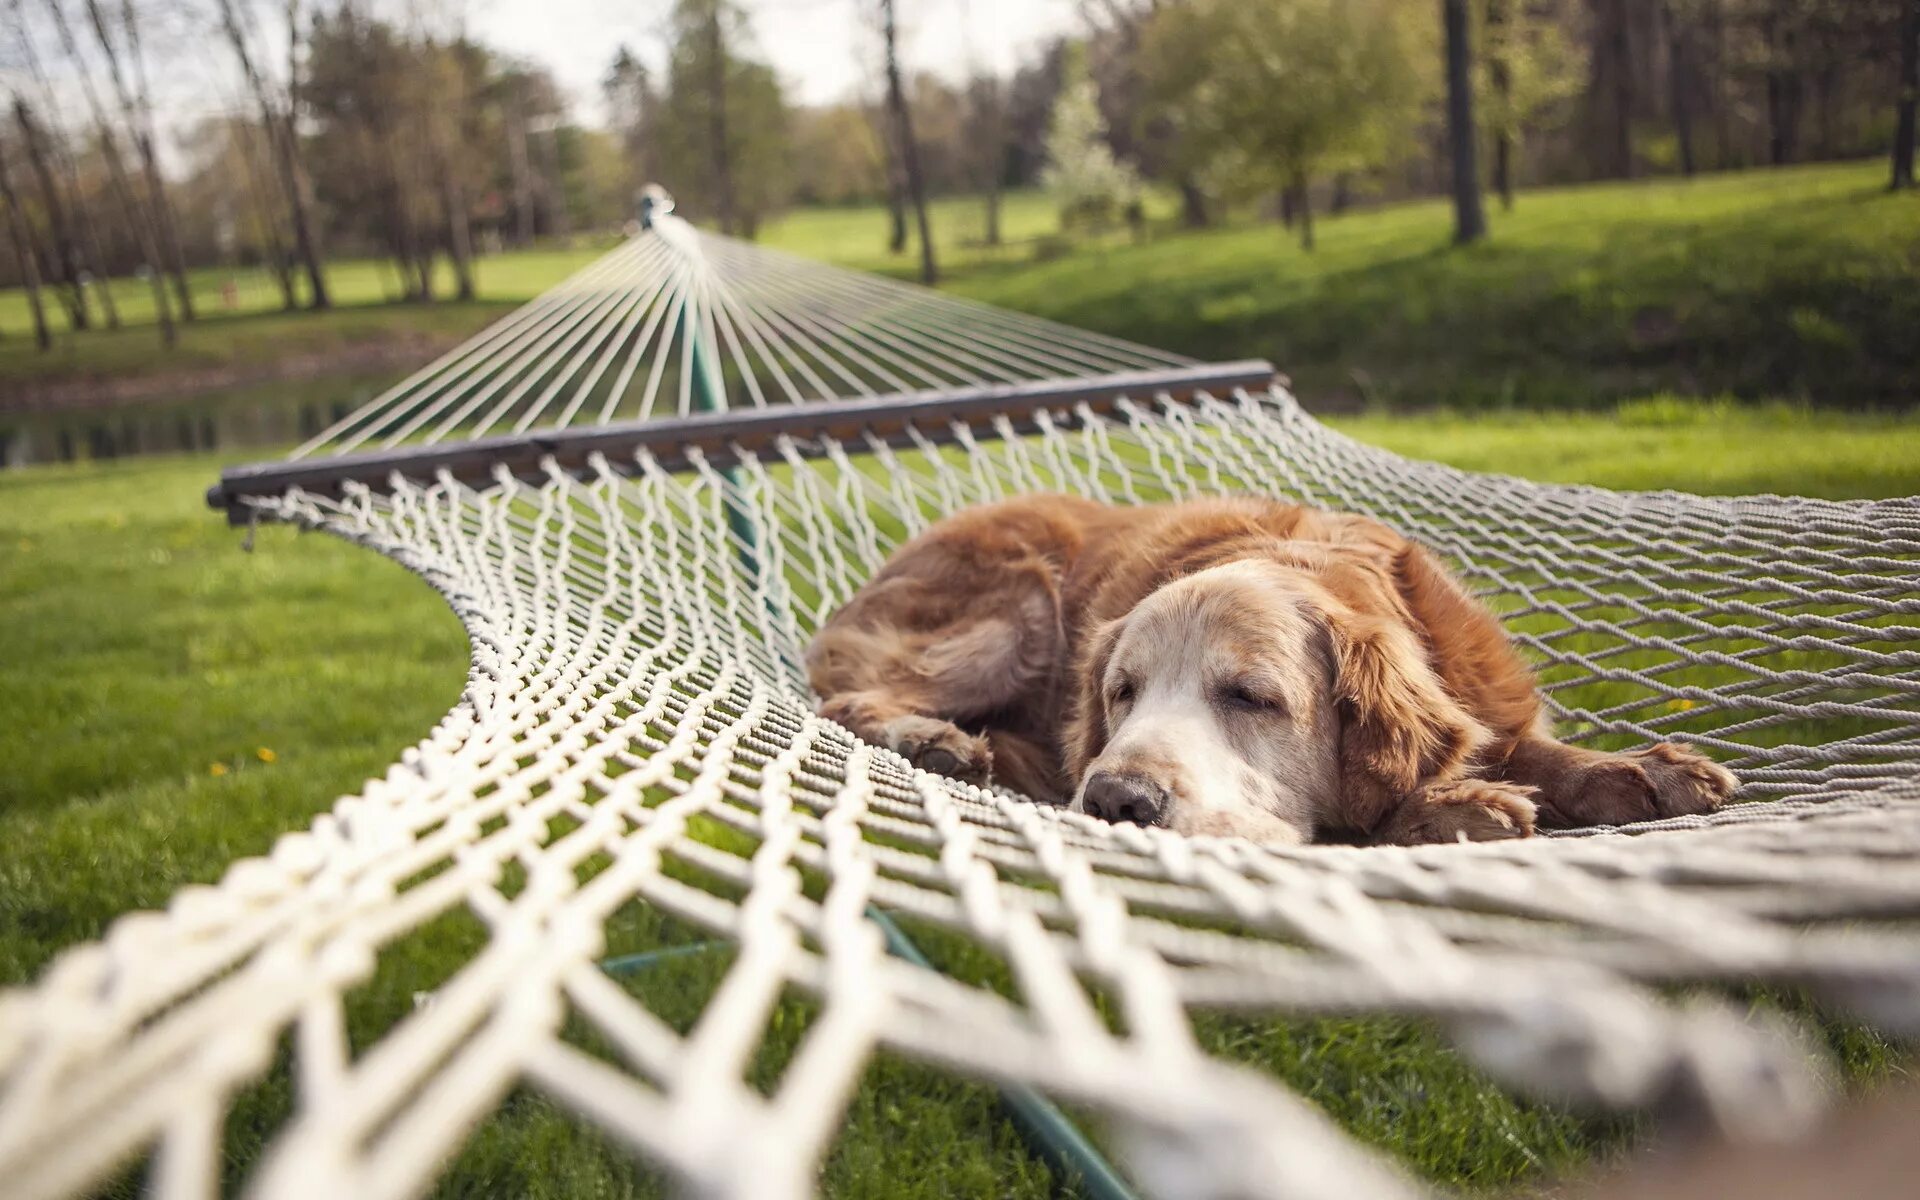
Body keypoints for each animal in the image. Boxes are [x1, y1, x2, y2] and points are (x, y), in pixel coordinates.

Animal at [802, 491, 1735, 848]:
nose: (1116, 800)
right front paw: (1453, 807)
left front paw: (1638, 770)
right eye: (1122, 693)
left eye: (1249, 697)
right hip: (1018, 605)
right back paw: (935, 739)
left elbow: (1523, 744)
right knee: (847, 697)